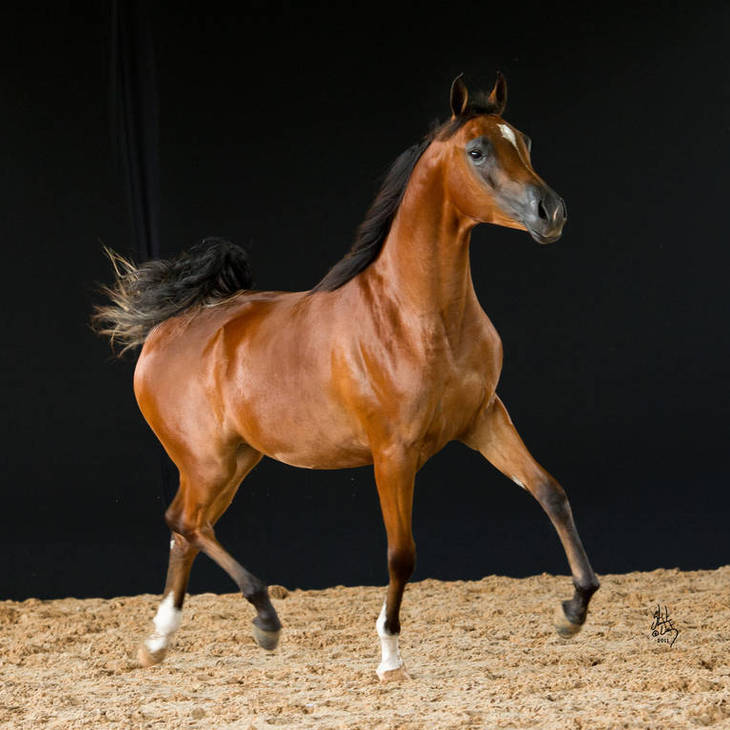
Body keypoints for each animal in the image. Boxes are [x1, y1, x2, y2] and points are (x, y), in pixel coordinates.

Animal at [93, 73, 599, 681]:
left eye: (524, 141)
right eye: (477, 151)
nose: (552, 212)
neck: (418, 316)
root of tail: (165, 331)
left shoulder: (483, 420)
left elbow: (551, 492)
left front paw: (574, 609)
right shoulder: (394, 453)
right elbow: (401, 553)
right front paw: (389, 655)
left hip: (235, 461)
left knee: (186, 530)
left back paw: (160, 642)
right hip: (206, 460)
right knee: (184, 522)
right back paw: (263, 617)